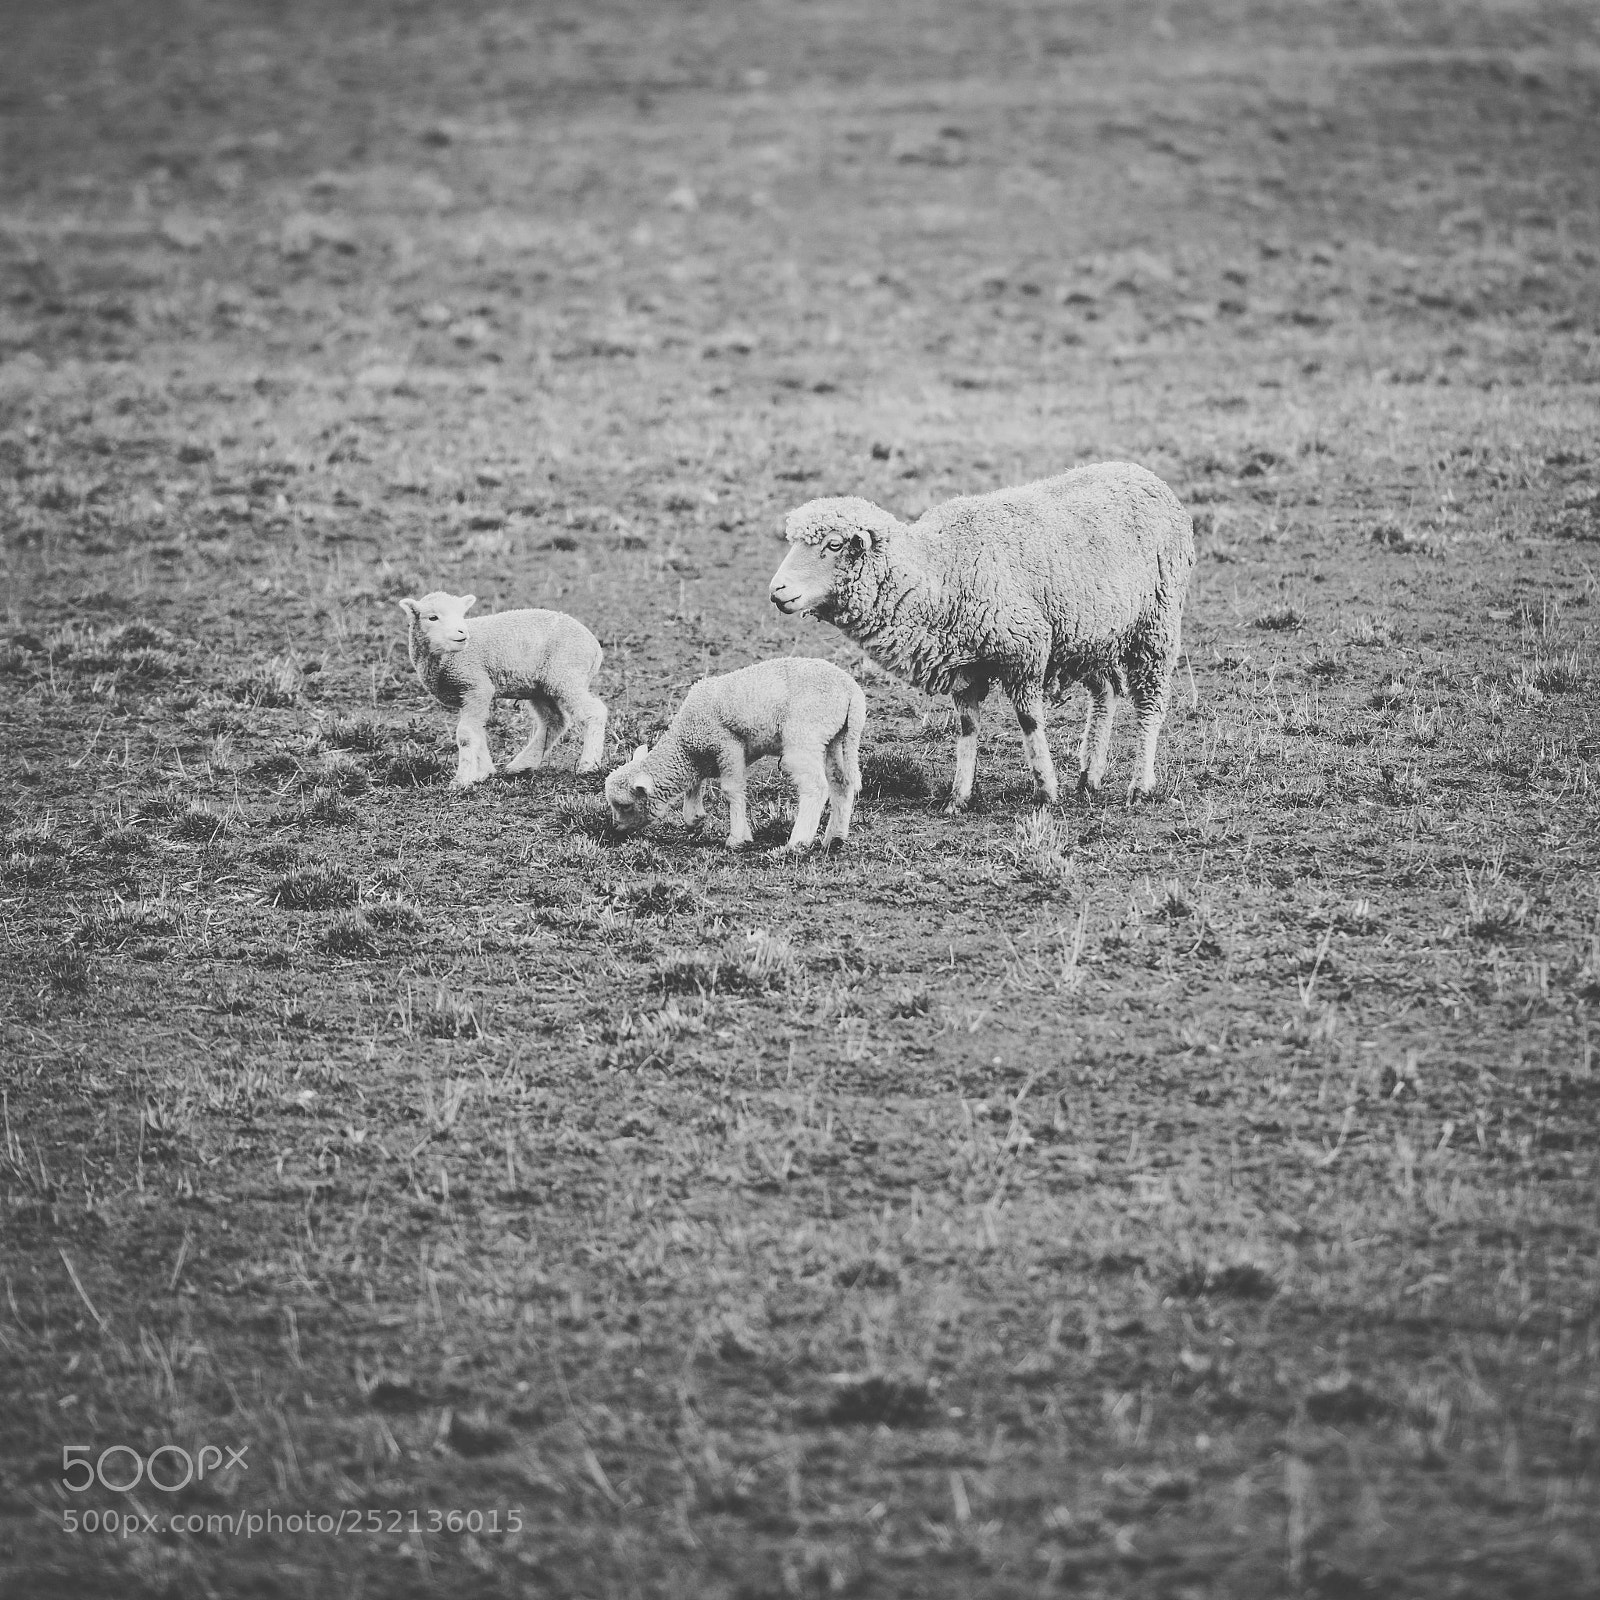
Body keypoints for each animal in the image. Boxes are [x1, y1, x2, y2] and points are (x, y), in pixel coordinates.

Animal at [398, 590, 608, 787]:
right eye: (432, 617)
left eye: (461, 614)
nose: (462, 633)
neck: (443, 659)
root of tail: (595, 647)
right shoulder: (468, 694)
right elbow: (478, 730)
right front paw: (483, 772)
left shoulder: (476, 685)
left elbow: (466, 734)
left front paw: (462, 780)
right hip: (540, 686)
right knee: (555, 721)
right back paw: (522, 765)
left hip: (566, 675)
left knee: (594, 711)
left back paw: (588, 765)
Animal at [604, 657, 866, 852]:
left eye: (625, 805)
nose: (615, 830)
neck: (685, 741)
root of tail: (852, 690)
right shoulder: (702, 754)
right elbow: (694, 784)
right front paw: (694, 820)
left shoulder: (727, 745)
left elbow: (731, 791)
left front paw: (737, 839)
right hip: (836, 738)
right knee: (841, 783)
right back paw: (834, 838)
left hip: (805, 735)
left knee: (815, 787)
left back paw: (797, 842)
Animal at [768, 461, 1194, 812]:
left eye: (833, 545)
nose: (777, 591)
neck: (940, 568)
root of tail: (1145, 475)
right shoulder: (964, 667)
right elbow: (967, 729)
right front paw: (958, 797)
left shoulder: (1025, 650)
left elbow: (1029, 721)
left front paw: (1045, 790)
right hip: (1090, 635)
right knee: (1105, 693)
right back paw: (1089, 777)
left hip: (1156, 624)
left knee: (1150, 704)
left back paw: (1140, 785)